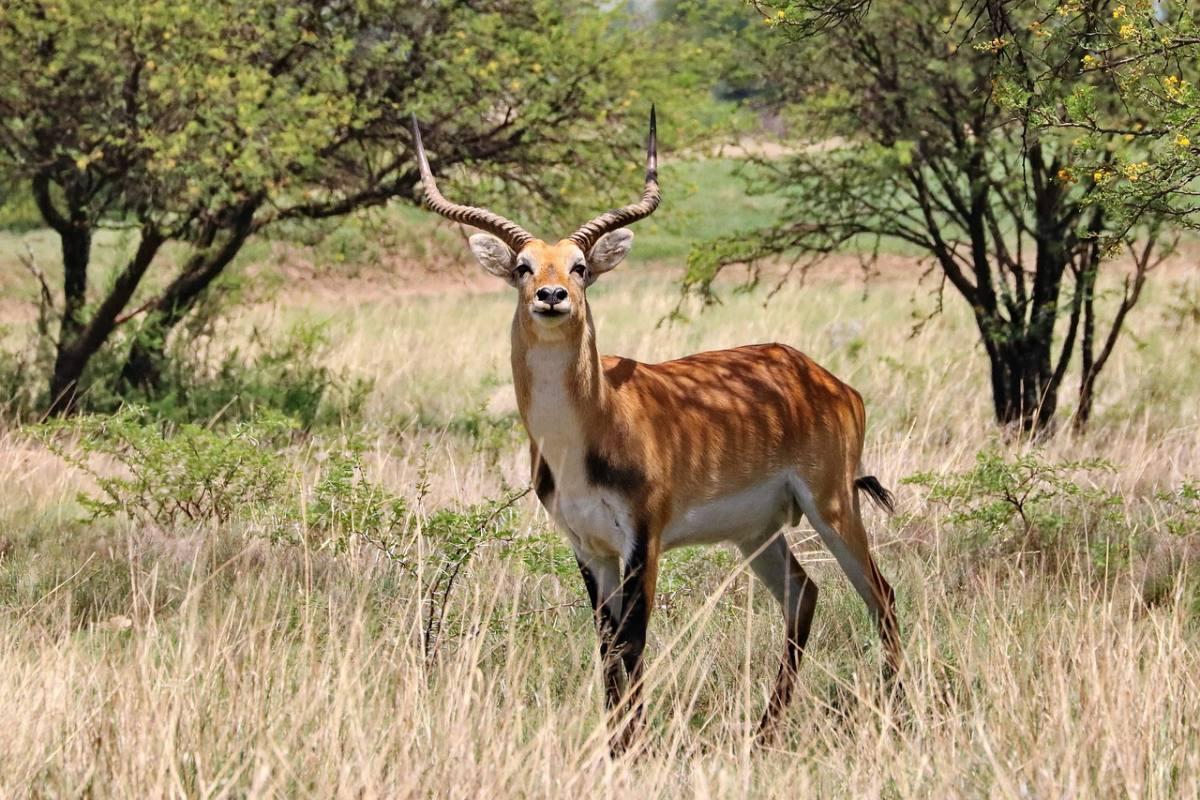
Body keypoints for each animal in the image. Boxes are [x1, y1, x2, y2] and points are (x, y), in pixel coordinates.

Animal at [410, 109, 902, 748]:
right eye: (523, 267)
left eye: (581, 266)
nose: (552, 295)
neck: (592, 428)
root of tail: (823, 377)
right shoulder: (588, 547)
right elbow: (606, 647)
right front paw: (614, 743)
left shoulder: (643, 540)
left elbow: (633, 643)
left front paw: (633, 749)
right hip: (758, 531)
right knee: (803, 593)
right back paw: (764, 733)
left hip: (833, 503)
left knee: (880, 595)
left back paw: (897, 715)